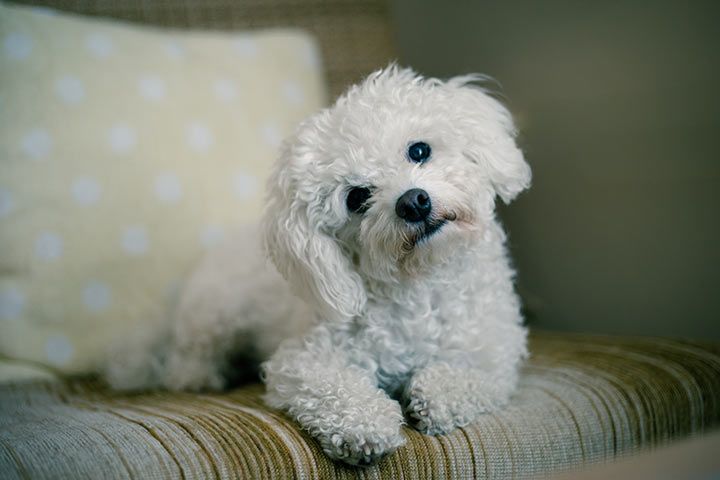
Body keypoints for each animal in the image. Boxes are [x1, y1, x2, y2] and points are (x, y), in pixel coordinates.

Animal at [108, 66, 536, 464]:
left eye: (419, 151)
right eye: (356, 197)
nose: (413, 202)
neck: (420, 287)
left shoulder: (494, 355)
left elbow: (461, 378)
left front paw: (433, 397)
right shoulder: (303, 360)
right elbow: (337, 389)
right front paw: (366, 425)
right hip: (214, 314)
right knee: (185, 358)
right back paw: (201, 375)